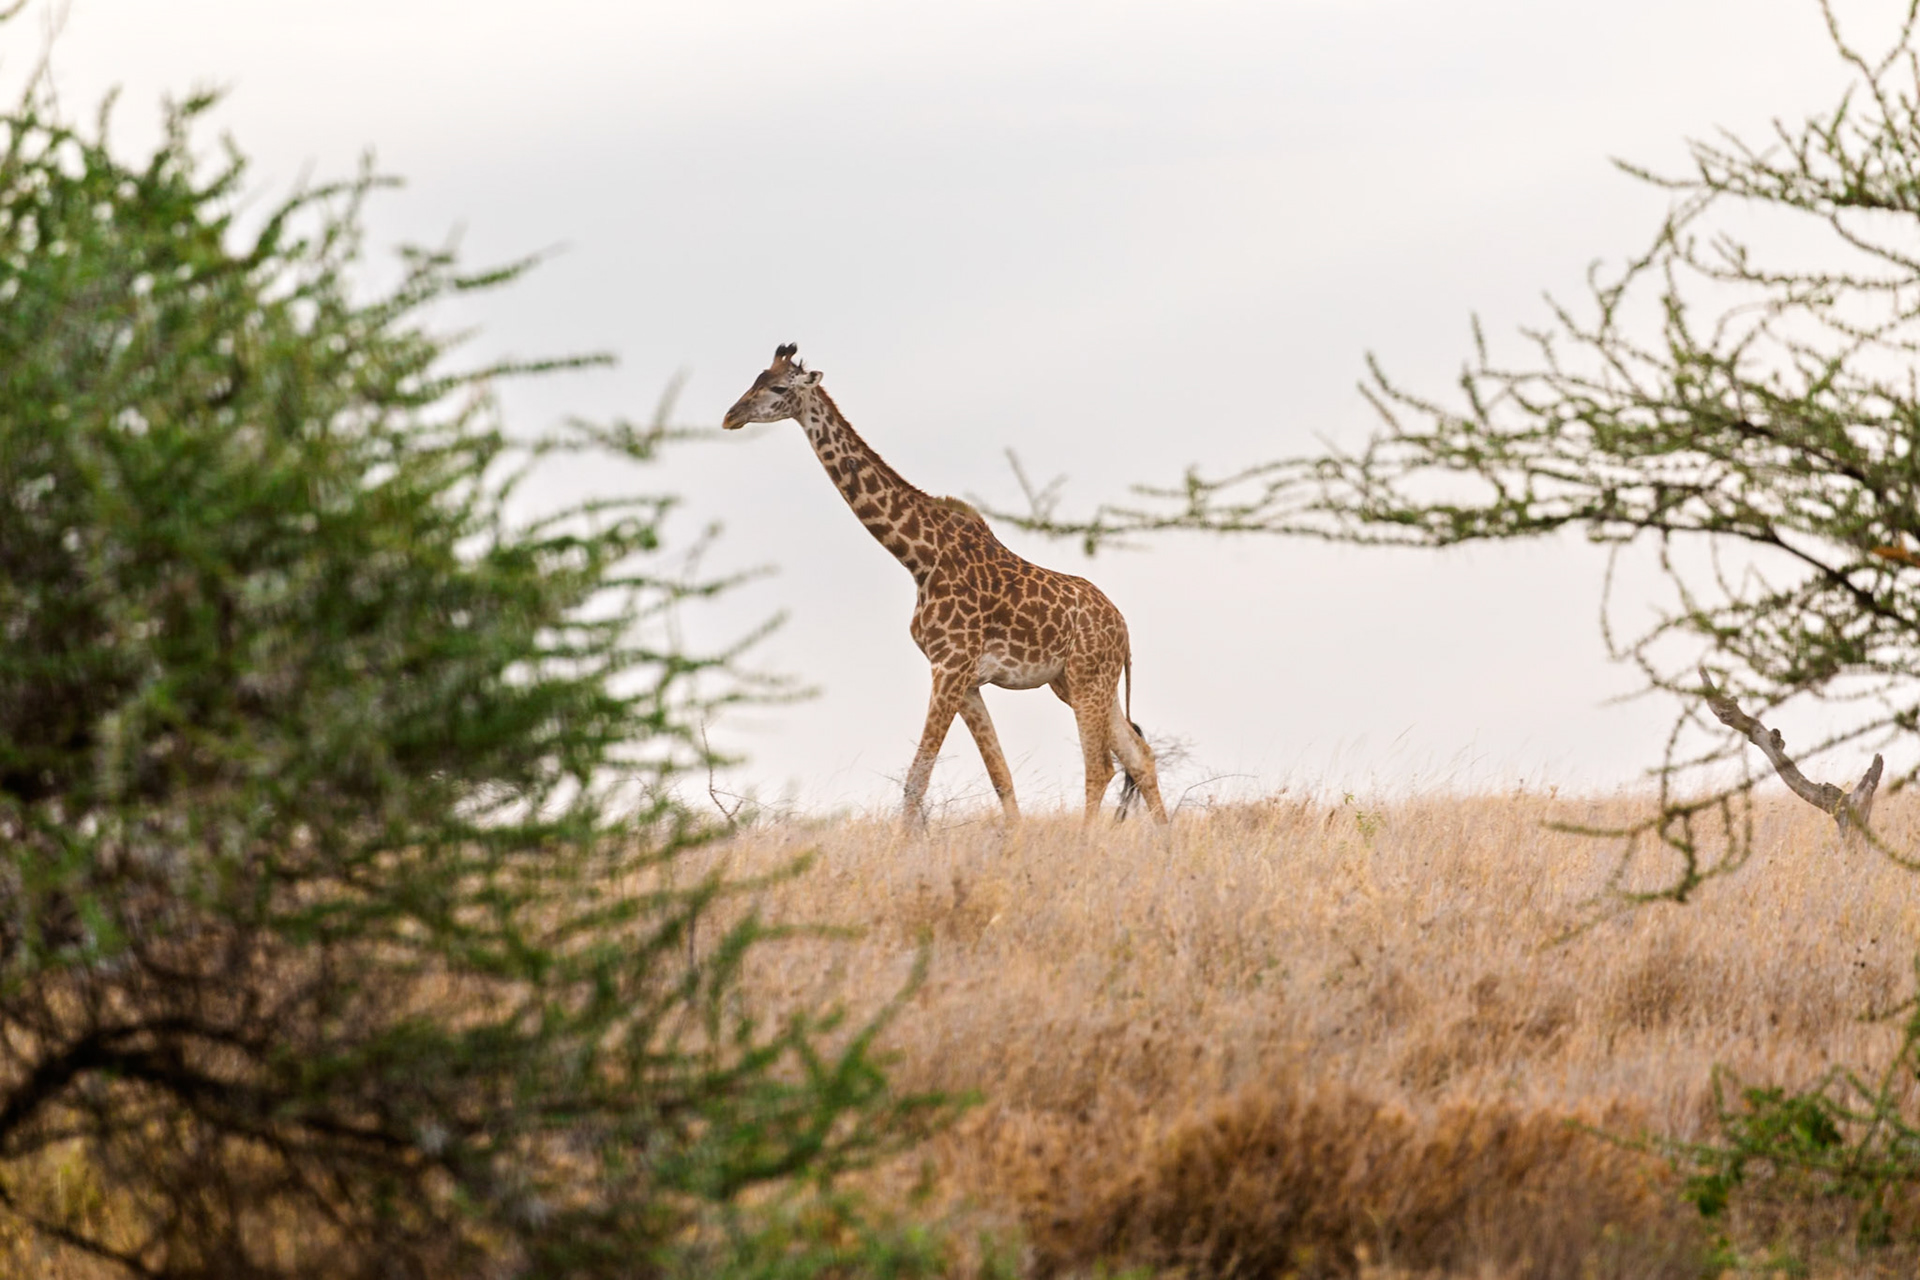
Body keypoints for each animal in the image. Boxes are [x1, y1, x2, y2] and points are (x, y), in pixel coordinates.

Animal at [722, 343, 1169, 827]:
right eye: (754, 379)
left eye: (778, 388)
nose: (730, 416)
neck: (919, 557)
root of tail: (1123, 629)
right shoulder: (967, 680)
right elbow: (1000, 777)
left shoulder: (949, 666)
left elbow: (918, 777)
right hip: (1075, 682)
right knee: (1139, 755)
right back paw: (1163, 839)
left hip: (1088, 677)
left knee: (1101, 765)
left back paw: (1087, 842)